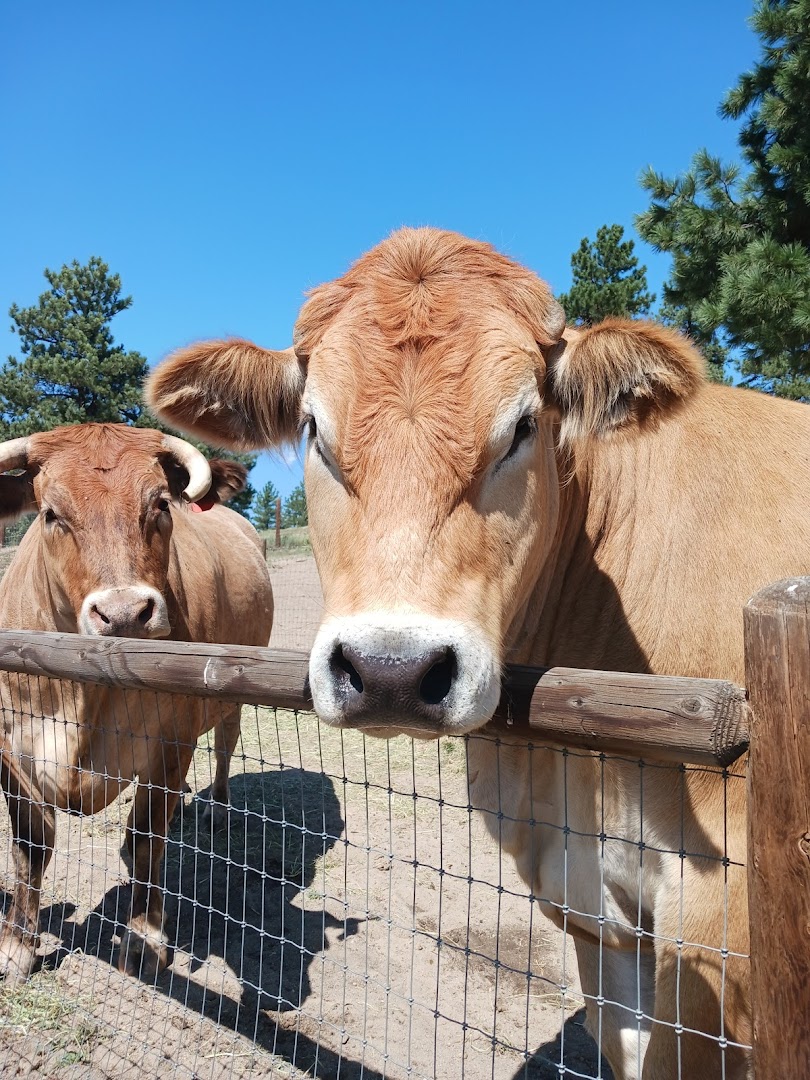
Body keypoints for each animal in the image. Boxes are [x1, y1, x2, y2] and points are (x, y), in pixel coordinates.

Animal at [0, 423, 274, 985]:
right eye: (50, 514)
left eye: (161, 504)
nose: (125, 613)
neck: (82, 696)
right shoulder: (8, 743)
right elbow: (32, 839)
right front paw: (17, 943)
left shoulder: (171, 741)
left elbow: (149, 835)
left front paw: (145, 938)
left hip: (231, 693)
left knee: (225, 746)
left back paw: (217, 807)